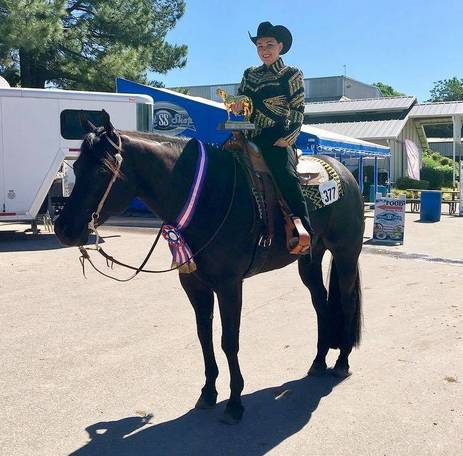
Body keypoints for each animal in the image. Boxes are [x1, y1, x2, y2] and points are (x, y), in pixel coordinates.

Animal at [54, 114, 365, 425]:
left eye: (102, 171)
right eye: (77, 167)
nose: (63, 229)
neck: (208, 197)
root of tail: (345, 173)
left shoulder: (229, 286)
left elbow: (229, 341)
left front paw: (235, 403)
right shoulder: (195, 286)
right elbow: (204, 336)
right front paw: (208, 393)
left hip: (346, 254)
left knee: (347, 303)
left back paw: (341, 362)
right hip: (309, 260)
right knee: (321, 303)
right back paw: (318, 361)